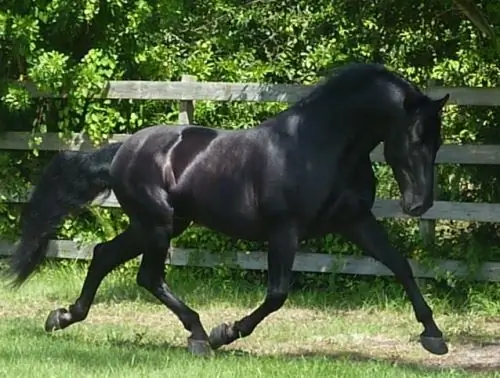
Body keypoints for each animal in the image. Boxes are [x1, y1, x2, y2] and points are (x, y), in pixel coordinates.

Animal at [6, 63, 450, 356]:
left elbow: (401, 266)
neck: (318, 146)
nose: (420, 204)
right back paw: (200, 336)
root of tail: (123, 150)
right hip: (157, 225)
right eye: (415, 137)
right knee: (148, 276)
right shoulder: (284, 231)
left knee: (103, 256)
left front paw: (434, 335)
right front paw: (227, 332)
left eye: (438, 141)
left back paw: (62, 317)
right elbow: (277, 294)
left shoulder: (355, 221)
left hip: (160, 224)